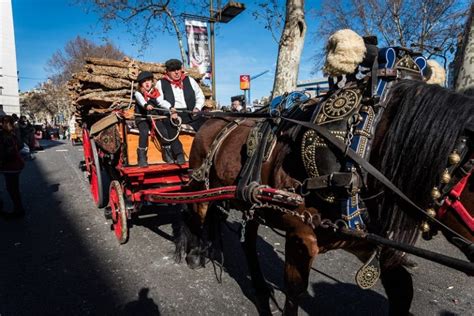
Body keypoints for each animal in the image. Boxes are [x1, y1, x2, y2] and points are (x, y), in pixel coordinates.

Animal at [176, 79, 474, 316]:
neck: (355, 158)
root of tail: (211, 120)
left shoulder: (359, 236)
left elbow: (402, 289)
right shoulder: (301, 237)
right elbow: (294, 292)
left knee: (245, 238)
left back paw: (258, 287)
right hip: (199, 181)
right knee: (196, 211)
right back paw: (193, 251)